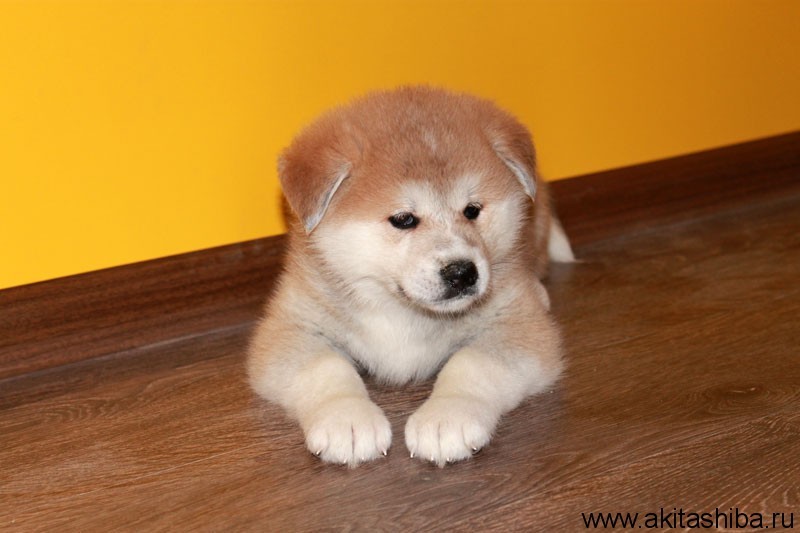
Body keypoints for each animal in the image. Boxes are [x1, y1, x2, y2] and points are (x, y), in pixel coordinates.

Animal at [247, 86, 573, 467]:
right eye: (404, 219)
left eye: (472, 210)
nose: (462, 273)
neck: (400, 310)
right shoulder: (291, 327)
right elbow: (326, 368)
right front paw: (347, 419)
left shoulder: (517, 325)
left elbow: (473, 363)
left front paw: (448, 416)